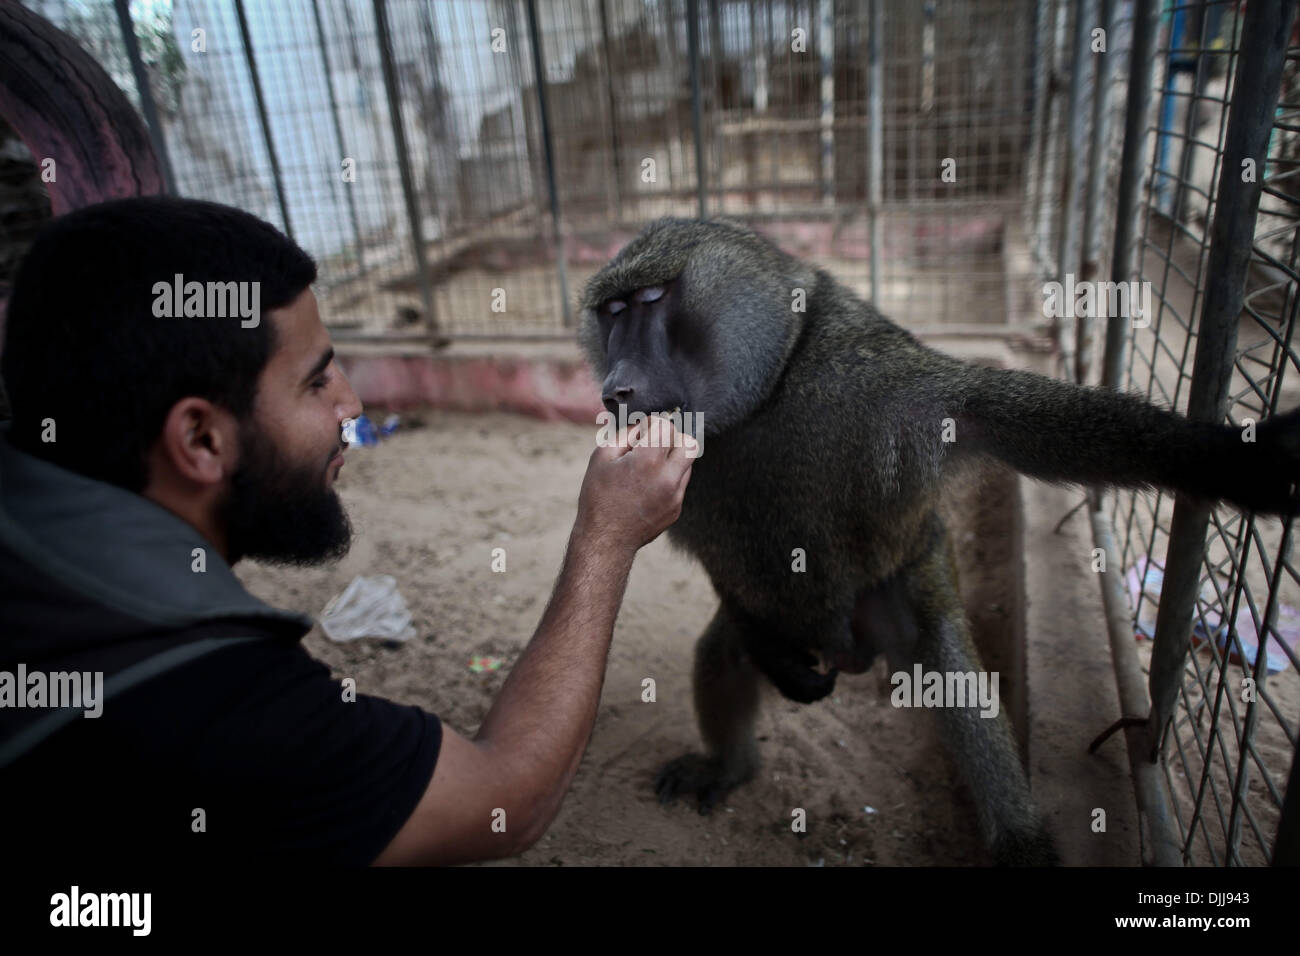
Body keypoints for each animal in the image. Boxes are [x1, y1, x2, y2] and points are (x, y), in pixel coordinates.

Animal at [577, 217, 1300, 866]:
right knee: (727, 648)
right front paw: (777, 675)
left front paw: (1244, 462)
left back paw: (1022, 844)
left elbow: (990, 412)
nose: (615, 389)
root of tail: (856, 652)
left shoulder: (873, 384)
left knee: (962, 703)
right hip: (797, 623)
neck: (766, 398)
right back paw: (732, 762)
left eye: (650, 301)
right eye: (610, 314)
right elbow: (722, 571)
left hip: (905, 599)